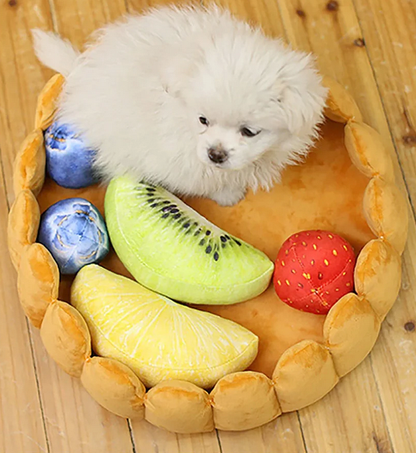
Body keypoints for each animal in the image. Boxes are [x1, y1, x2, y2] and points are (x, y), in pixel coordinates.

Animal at [32, 4, 326, 207]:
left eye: (249, 132)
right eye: (203, 120)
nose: (215, 154)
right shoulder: (176, 157)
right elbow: (206, 181)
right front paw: (228, 195)